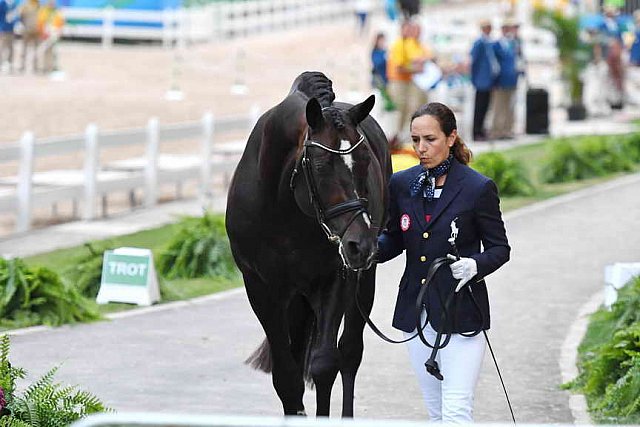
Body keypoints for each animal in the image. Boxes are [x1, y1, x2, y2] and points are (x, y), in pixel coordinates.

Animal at [228, 71, 392, 418]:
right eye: (320, 166)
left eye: (364, 162)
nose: (361, 244)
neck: (284, 208)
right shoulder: (263, 289)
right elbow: (286, 375)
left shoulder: (335, 279)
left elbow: (325, 364)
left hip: (362, 282)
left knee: (350, 352)